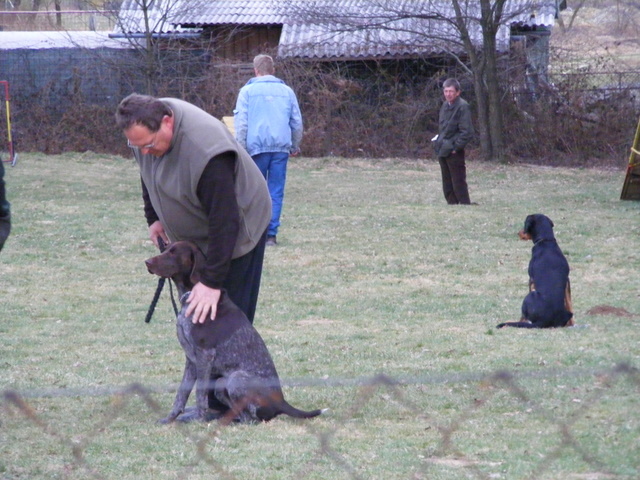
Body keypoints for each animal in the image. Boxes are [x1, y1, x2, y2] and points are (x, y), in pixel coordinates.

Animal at [144, 241, 324, 423]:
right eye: (165, 248)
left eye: (173, 253)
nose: (147, 262)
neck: (192, 296)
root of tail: (281, 403)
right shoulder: (191, 359)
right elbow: (181, 394)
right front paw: (169, 419)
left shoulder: (204, 355)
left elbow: (200, 394)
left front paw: (199, 420)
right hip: (220, 384)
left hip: (235, 379)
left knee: (252, 419)